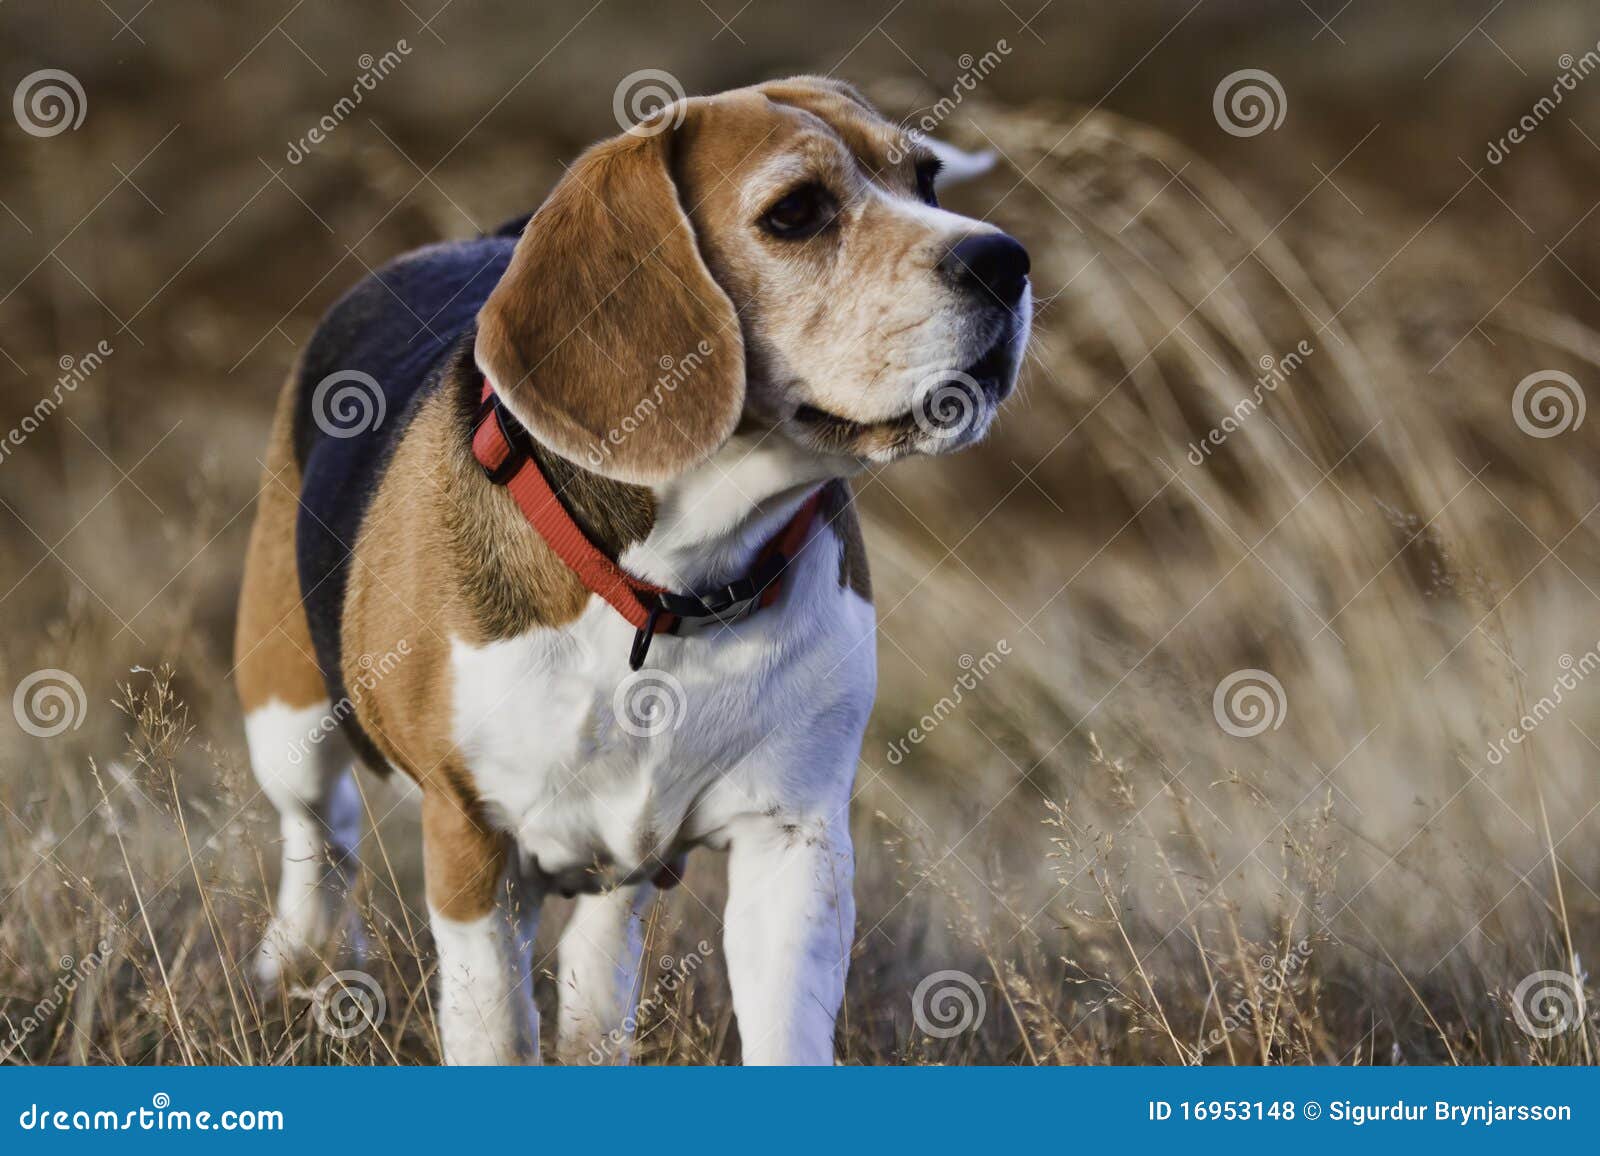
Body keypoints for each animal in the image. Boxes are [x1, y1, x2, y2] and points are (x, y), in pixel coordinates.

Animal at [235, 74, 1030, 1063]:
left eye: (925, 178)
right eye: (795, 212)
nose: (1006, 261)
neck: (670, 585)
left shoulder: (794, 842)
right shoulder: (471, 847)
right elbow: (496, 1031)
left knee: (600, 943)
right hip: (286, 715)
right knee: (321, 828)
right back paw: (297, 962)